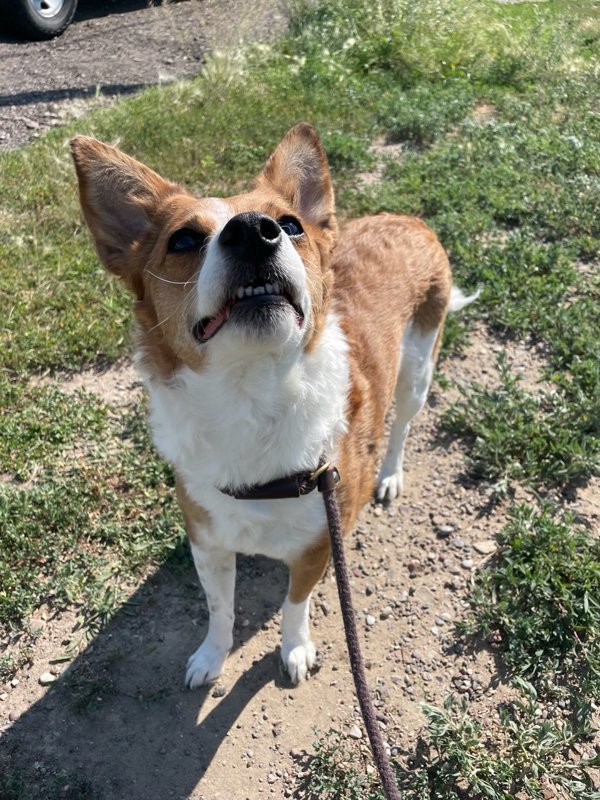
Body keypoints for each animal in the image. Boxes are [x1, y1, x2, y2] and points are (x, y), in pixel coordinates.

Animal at [69, 125, 474, 688]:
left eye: (289, 224)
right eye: (183, 240)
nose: (253, 231)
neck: (250, 395)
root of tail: (405, 218)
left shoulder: (317, 548)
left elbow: (294, 605)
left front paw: (295, 649)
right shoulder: (208, 544)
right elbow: (219, 608)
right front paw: (211, 656)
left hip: (417, 369)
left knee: (402, 428)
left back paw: (389, 474)